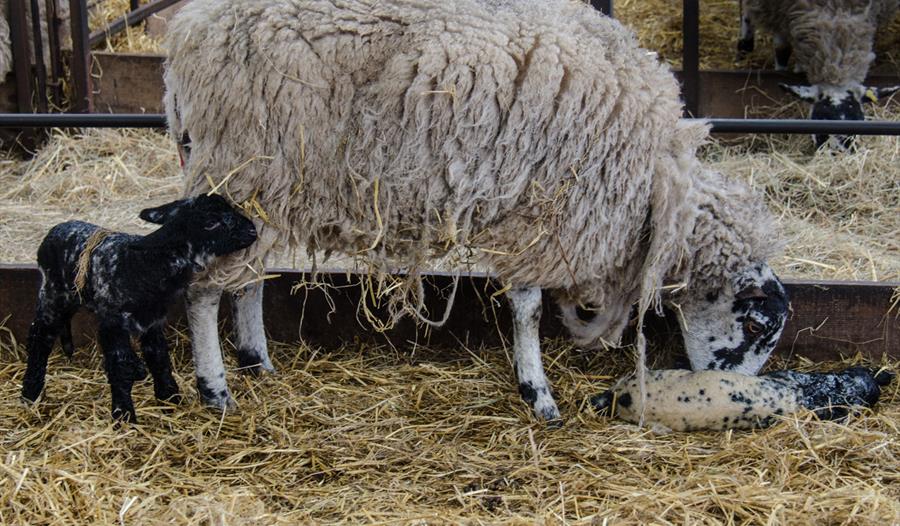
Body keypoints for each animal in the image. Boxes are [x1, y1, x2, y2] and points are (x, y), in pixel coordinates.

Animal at [21, 195, 258, 424]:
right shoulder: (112, 322)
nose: (252, 231)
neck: (142, 264)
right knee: (39, 339)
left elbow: (159, 358)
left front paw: (170, 399)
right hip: (53, 295)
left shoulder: (151, 322)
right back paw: (30, 393)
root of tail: (53, 231)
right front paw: (124, 415)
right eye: (210, 223)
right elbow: (120, 365)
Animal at [740, 0, 900, 148]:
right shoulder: (777, 12)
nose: (838, 155)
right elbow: (781, 50)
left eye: (857, 129)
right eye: (821, 124)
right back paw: (744, 45)